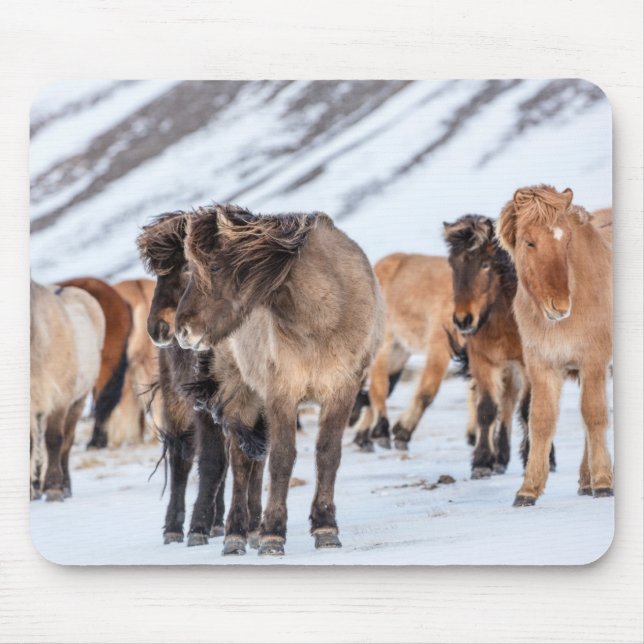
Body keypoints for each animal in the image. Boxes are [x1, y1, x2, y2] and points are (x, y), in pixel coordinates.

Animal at [30, 280, 105, 501]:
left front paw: (54, 488)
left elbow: (55, 439)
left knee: (67, 441)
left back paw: (65, 486)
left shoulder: (60, 399)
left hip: (78, 401)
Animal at [175, 204, 385, 556]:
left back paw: (251, 530)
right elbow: (282, 459)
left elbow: (328, 454)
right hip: (242, 394)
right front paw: (273, 535)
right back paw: (235, 535)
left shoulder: (342, 390)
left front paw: (326, 528)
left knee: (255, 461)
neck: (322, 318)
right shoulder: (281, 394)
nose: (182, 330)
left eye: (214, 266)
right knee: (241, 462)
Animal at [351, 253, 463, 451]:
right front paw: (402, 432)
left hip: (399, 352)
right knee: (379, 386)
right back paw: (380, 431)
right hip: (386, 345)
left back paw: (364, 436)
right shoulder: (440, 344)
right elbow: (427, 392)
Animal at [443, 215, 556, 478]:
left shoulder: (527, 363)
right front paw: (483, 461)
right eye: (452, 264)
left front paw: (532, 459)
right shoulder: (483, 361)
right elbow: (487, 410)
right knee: (505, 404)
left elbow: (528, 410)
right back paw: (501, 458)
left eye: (485, 265)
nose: (463, 320)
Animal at [497, 185, 612, 505]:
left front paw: (603, 481)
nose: (560, 306)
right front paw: (528, 489)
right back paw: (585, 481)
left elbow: (594, 415)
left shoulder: (593, 361)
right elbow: (541, 421)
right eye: (529, 242)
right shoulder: (542, 366)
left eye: (568, 239)